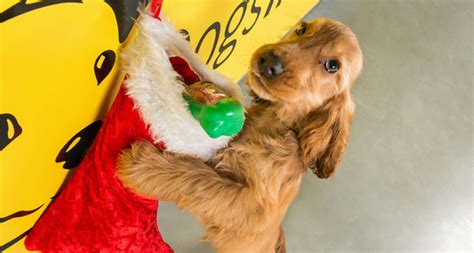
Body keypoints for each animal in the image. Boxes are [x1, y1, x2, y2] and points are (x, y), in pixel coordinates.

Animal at [117, 18, 362, 253]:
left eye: (332, 65)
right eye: (302, 29)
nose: (268, 61)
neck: (275, 123)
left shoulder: (251, 209)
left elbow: (202, 182)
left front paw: (141, 165)